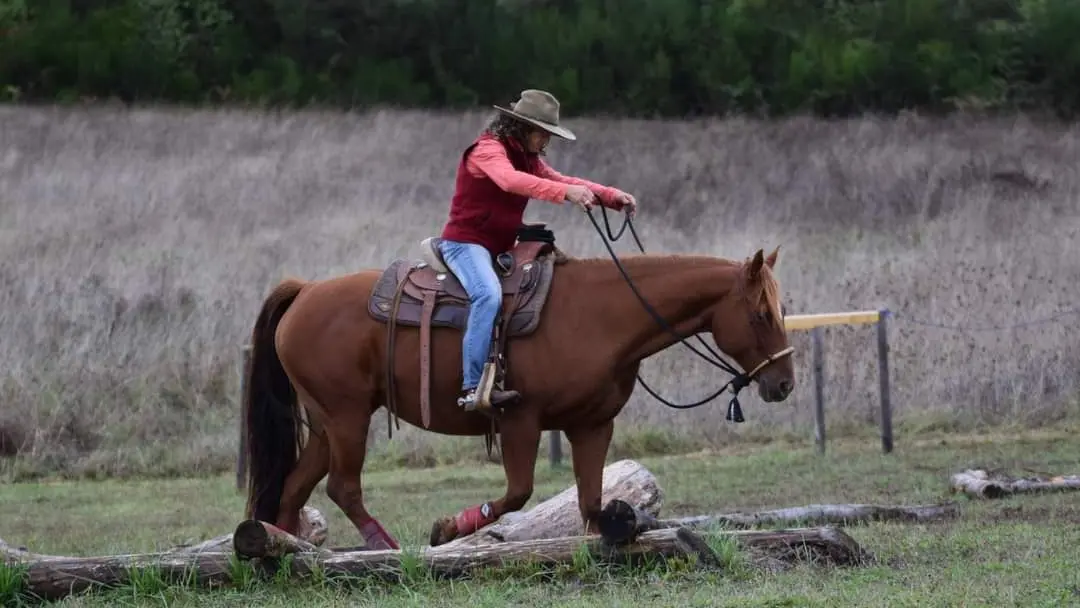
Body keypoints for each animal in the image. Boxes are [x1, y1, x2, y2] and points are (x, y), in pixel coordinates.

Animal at [240, 225, 794, 552]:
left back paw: (284, 550)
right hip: (348, 417)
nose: (784, 383)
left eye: (782, 309)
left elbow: (591, 503)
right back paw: (386, 547)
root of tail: (305, 291)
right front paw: (447, 528)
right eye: (761, 314)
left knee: (294, 487)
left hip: (325, 423)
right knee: (342, 486)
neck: (601, 315)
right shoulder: (520, 422)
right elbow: (517, 492)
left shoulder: (592, 425)